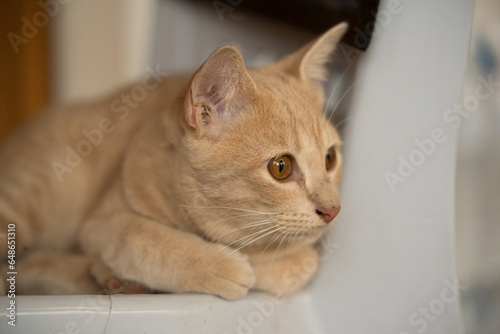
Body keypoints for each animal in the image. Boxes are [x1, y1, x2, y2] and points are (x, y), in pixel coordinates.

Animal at [0, 22, 348, 300]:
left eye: (330, 158)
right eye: (281, 167)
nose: (333, 210)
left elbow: (299, 263)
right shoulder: (99, 224)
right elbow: (138, 237)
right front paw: (218, 265)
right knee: (20, 267)